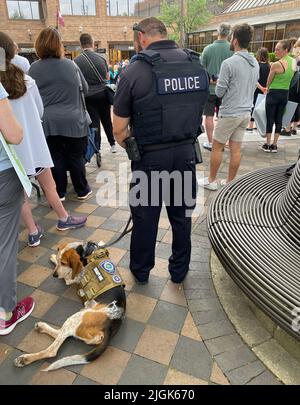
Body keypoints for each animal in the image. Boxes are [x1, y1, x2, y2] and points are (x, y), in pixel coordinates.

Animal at [14, 241, 126, 370]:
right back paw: (41, 327)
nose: (54, 275)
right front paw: (53, 257)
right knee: (60, 333)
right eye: (60, 261)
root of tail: (111, 326)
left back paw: (25, 359)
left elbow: (67, 274)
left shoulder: (71, 278)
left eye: (64, 263)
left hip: (74, 319)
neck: (87, 251)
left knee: (52, 350)